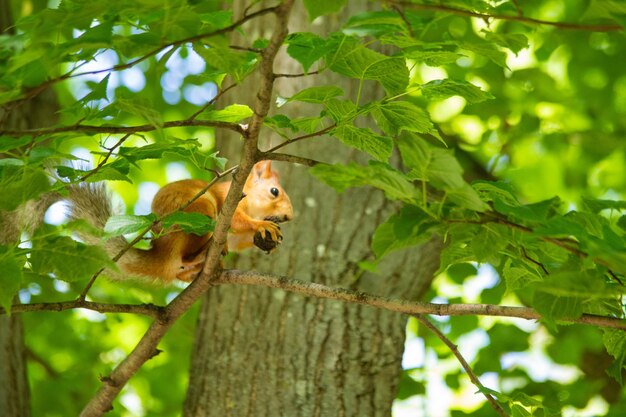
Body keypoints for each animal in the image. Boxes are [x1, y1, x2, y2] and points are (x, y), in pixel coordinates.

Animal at [68, 159, 292, 282]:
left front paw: (271, 244)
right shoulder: (232, 200)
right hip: (200, 212)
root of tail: (162, 254)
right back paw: (203, 252)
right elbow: (237, 221)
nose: (289, 217)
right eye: (274, 191)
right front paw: (262, 225)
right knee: (187, 255)